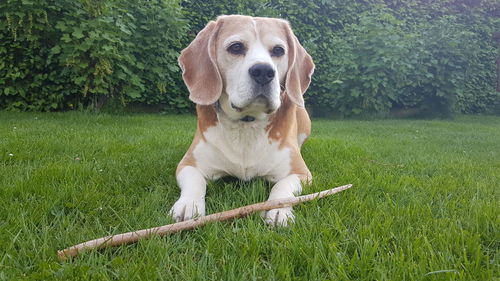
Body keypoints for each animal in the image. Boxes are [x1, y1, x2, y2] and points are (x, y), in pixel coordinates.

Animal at [170, 14, 314, 225]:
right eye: (236, 47)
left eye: (278, 50)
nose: (264, 71)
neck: (247, 122)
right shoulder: (188, 164)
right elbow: (195, 181)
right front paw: (189, 204)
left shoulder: (301, 173)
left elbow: (283, 186)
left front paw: (279, 209)